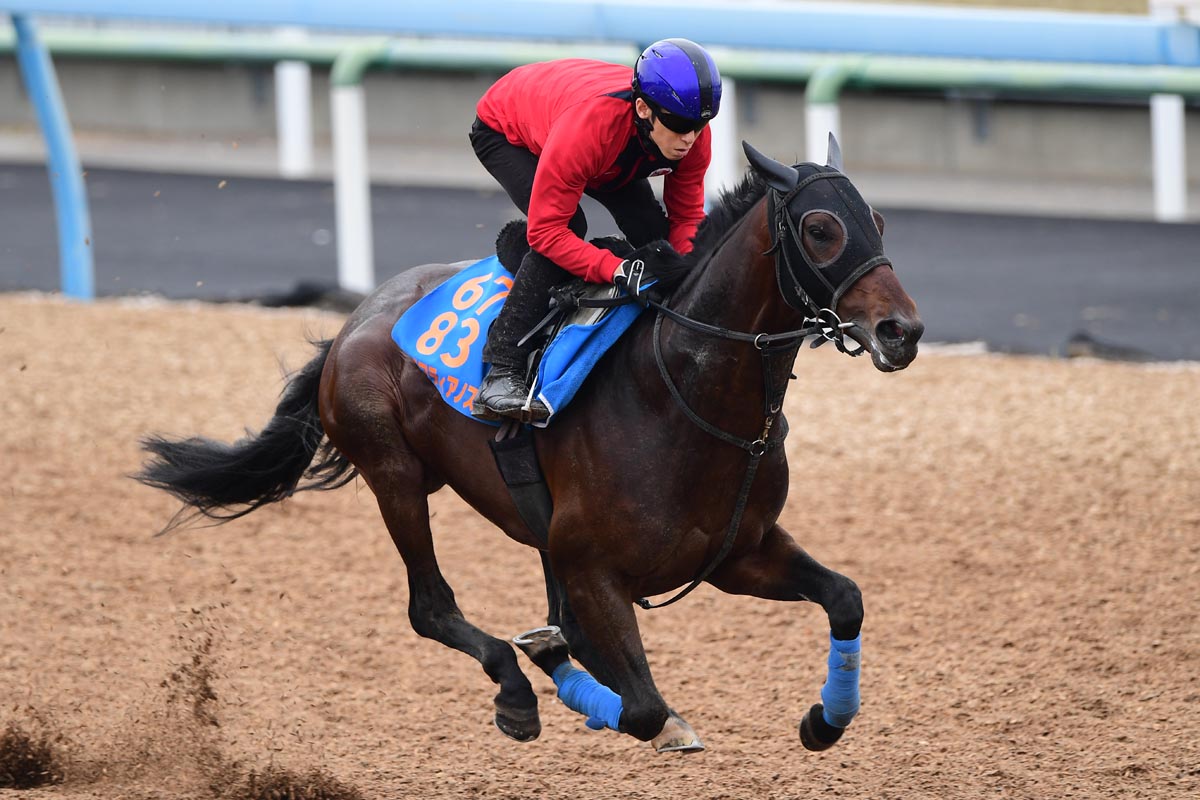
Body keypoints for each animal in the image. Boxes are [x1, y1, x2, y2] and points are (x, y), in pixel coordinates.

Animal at [136, 138, 923, 754]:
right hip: (394, 474)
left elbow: (846, 598)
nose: (903, 331)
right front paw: (575, 685)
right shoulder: (593, 565)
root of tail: (355, 320)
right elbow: (642, 708)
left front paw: (825, 719)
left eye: (879, 221)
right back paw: (516, 690)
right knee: (430, 608)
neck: (682, 396)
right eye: (820, 228)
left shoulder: (738, 553)